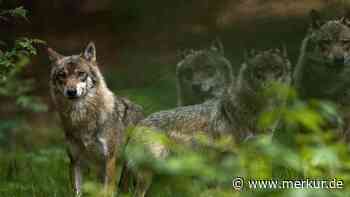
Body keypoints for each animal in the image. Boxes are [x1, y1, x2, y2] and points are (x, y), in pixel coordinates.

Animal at [47, 42, 144, 197]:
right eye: (62, 75)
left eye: (81, 73)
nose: (71, 91)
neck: (82, 118)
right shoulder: (75, 161)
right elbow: (77, 191)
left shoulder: (109, 159)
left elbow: (108, 191)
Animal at [127, 47, 292, 197]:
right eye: (259, 72)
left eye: (277, 70)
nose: (271, 87)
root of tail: (139, 123)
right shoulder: (231, 157)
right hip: (148, 175)